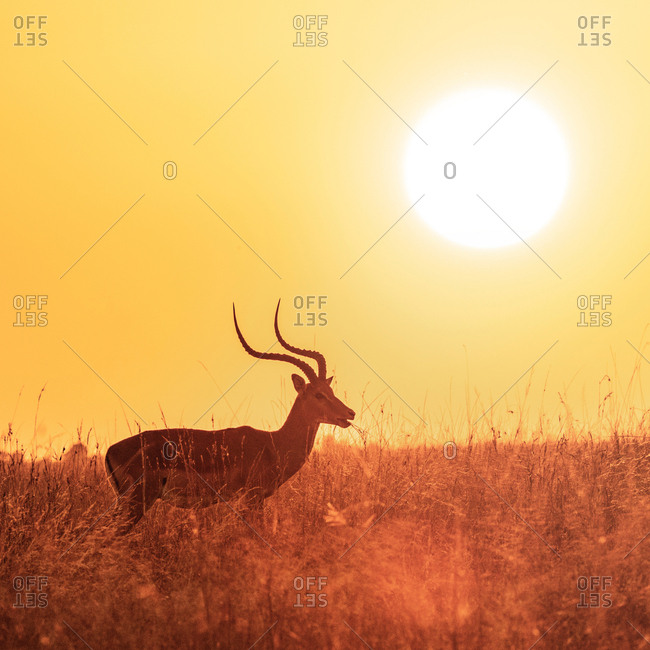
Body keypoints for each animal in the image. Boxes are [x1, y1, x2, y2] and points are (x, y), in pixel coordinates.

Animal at [104, 302, 355, 529]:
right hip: (136, 503)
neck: (274, 444)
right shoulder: (252, 498)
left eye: (330, 390)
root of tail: (110, 451)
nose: (349, 413)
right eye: (319, 394)